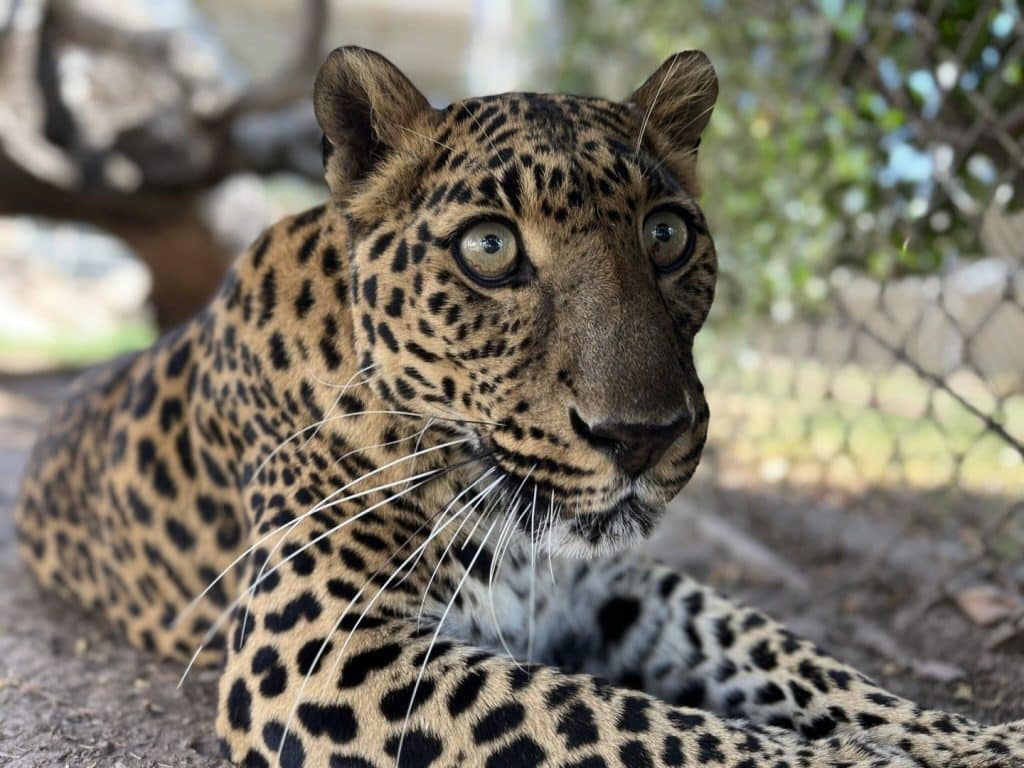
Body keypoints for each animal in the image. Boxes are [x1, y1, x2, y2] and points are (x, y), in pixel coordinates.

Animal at [14, 45, 1024, 768]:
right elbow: (633, 724)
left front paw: (974, 740)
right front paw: (869, 763)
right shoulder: (324, 658)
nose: (642, 439)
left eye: (667, 234)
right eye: (490, 248)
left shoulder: (616, 589)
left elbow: (791, 658)